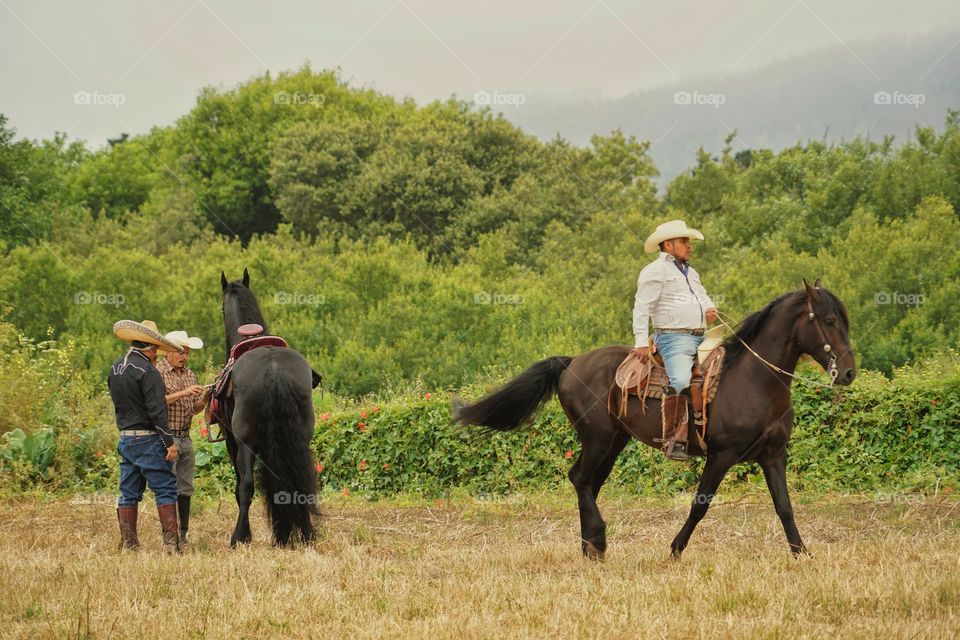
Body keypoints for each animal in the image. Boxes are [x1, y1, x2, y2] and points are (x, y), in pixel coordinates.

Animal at [221, 268, 318, 544]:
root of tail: (274, 371)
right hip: (300, 437)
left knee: (246, 486)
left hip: (245, 443)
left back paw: (238, 536)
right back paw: (305, 533)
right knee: (302, 479)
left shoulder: (231, 441)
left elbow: (240, 485)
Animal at [456, 280, 856, 560]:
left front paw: (801, 553)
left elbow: (784, 507)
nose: (849, 372)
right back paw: (597, 540)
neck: (752, 379)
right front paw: (675, 549)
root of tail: (571, 362)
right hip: (598, 438)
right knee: (580, 479)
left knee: (588, 484)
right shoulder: (721, 456)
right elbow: (700, 505)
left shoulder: (774, 456)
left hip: (613, 442)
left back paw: (590, 547)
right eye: (829, 320)